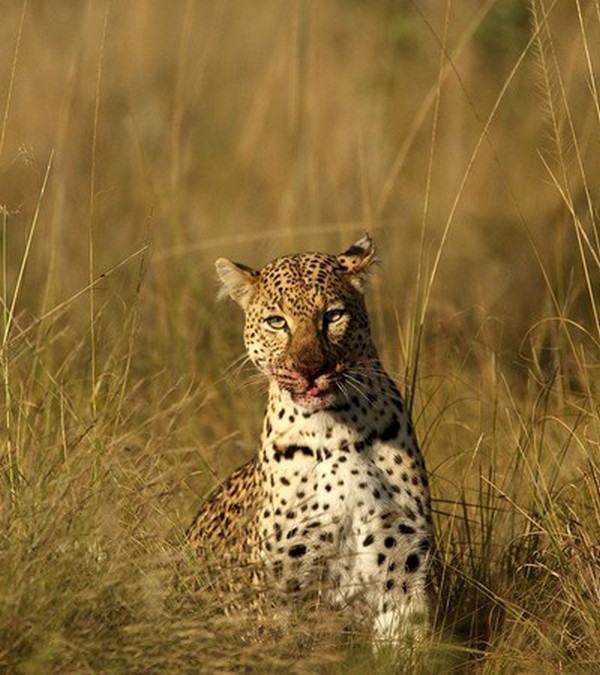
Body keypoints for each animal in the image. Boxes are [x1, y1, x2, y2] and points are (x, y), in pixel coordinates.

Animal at [185, 235, 434, 652]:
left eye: (333, 316)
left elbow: (407, 645)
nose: (309, 369)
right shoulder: (285, 583)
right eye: (276, 322)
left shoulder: (402, 566)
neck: (335, 432)